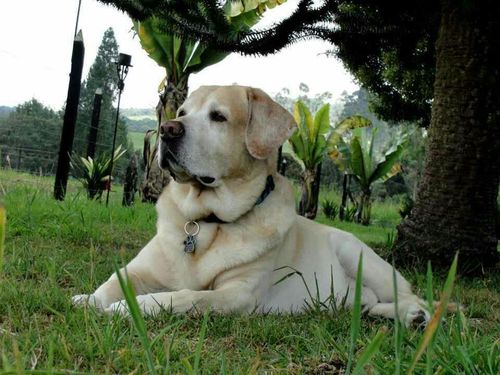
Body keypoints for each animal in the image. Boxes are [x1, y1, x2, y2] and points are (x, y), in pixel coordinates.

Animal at [74, 86, 430, 328]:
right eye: (182, 113)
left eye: (218, 117)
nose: (167, 129)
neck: (205, 221)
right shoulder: (140, 269)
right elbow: (114, 279)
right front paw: (89, 299)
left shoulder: (237, 294)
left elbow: (185, 296)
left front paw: (130, 307)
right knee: (370, 303)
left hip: (357, 254)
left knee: (412, 294)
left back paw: (415, 315)